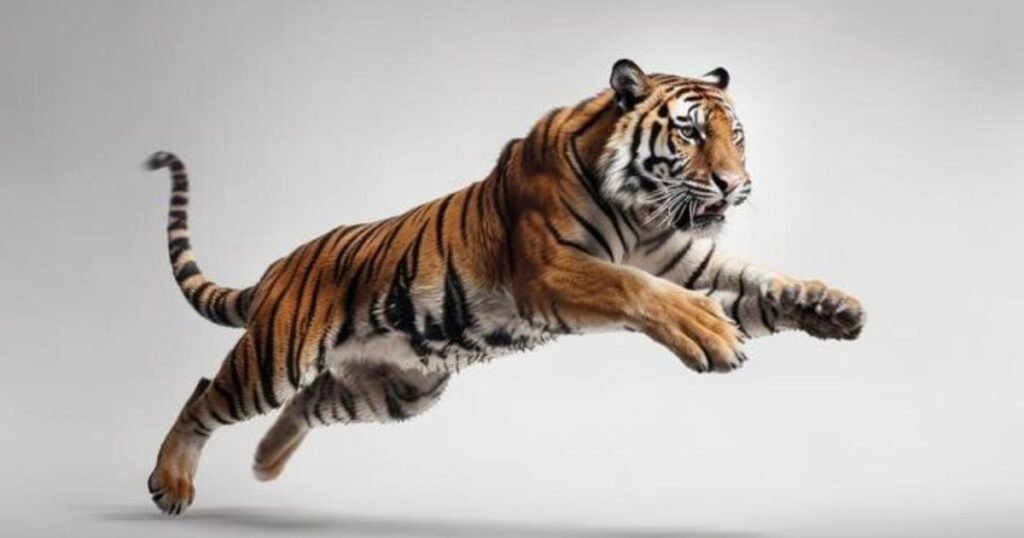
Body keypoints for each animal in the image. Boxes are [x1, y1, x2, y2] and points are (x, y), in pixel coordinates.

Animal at [146, 59, 865, 515]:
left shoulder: (684, 258)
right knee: (205, 395)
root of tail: (279, 266)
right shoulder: (549, 272)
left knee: (306, 403)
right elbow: (635, 287)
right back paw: (171, 483)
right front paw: (709, 333)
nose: (736, 184)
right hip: (276, 357)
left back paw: (264, 464)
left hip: (396, 391)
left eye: (736, 135)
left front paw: (832, 306)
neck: (642, 211)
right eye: (689, 132)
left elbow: (758, 280)